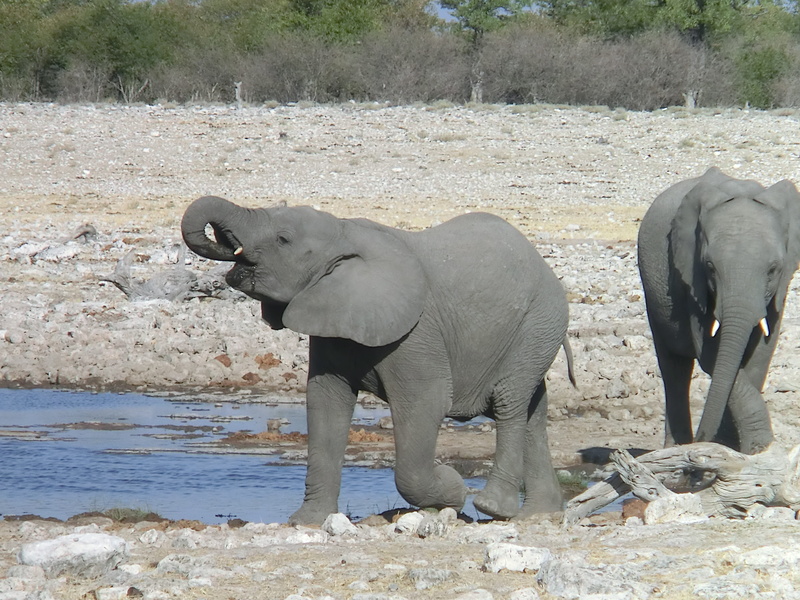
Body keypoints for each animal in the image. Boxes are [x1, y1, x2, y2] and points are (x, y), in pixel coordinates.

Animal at [182, 196, 575, 525]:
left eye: (283, 239)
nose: (224, 241)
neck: (344, 233)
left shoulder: (417, 332)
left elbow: (426, 403)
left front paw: (453, 488)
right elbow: (325, 403)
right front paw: (307, 522)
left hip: (538, 323)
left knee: (509, 401)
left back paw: (493, 507)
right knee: (534, 411)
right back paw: (540, 515)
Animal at [637, 167, 800, 454]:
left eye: (773, 270)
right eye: (710, 267)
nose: (704, 438)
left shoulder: (781, 288)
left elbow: (761, 354)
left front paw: (742, 448)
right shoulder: (690, 279)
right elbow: (710, 352)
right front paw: (757, 446)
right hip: (652, 290)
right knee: (675, 371)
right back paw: (676, 447)